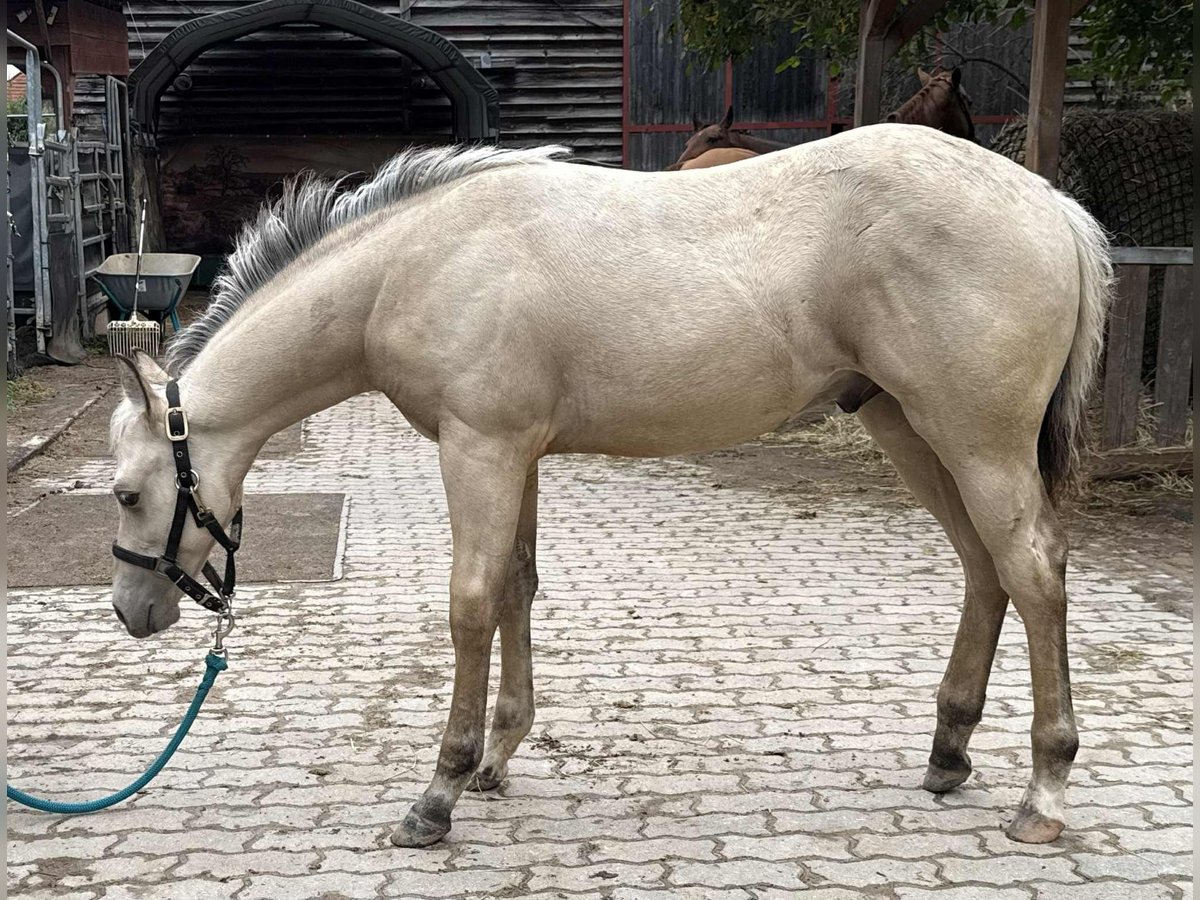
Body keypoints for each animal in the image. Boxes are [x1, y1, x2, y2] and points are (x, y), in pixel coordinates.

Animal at [108, 126, 1111, 850]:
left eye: (124, 494)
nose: (132, 612)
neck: (417, 263)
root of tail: (1051, 205)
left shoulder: (479, 449)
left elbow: (470, 604)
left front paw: (439, 793)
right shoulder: (518, 454)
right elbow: (516, 587)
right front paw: (498, 758)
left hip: (974, 441)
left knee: (1033, 570)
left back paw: (1044, 793)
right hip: (907, 427)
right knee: (985, 570)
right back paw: (949, 754)